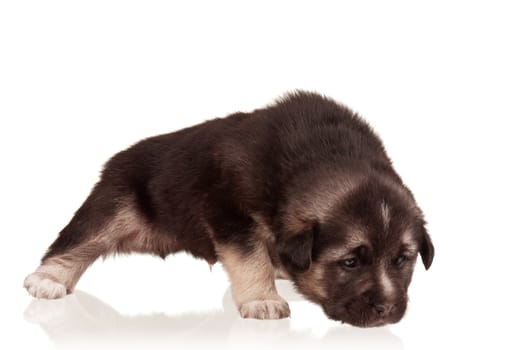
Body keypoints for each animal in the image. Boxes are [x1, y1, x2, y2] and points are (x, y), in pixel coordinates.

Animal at [24, 91, 436, 326]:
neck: (326, 156)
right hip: (114, 202)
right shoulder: (229, 213)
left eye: (403, 260)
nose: (386, 310)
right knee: (76, 240)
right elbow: (250, 257)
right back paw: (48, 279)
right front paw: (263, 300)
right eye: (350, 262)